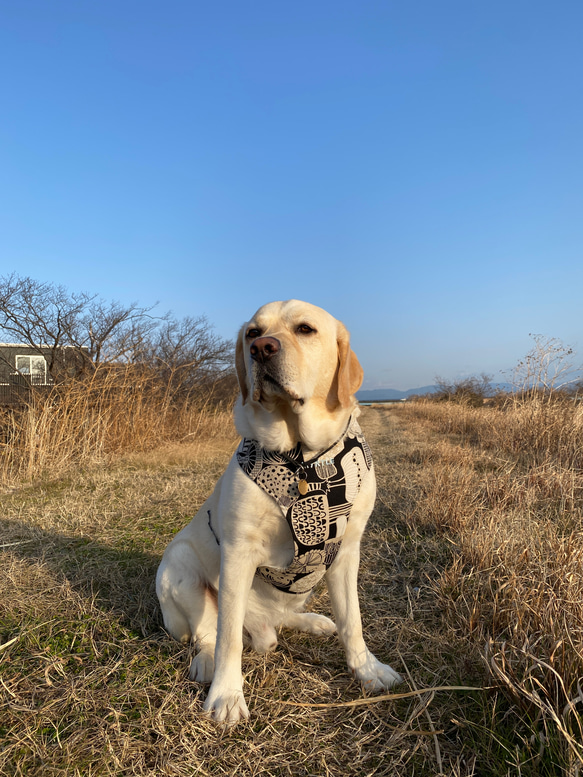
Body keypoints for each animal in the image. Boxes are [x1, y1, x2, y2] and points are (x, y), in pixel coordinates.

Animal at [156, 298, 402, 720]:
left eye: (305, 329)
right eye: (253, 333)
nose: (262, 349)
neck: (302, 458)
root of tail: (261, 625)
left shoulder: (347, 550)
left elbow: (352, 620)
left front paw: (367, 669)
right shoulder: (238, 552)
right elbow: (228, 639)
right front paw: (226, 695)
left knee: (284, 617)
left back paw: (313, 621)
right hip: (177, 567)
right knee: (209, 633)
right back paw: (206, 662)